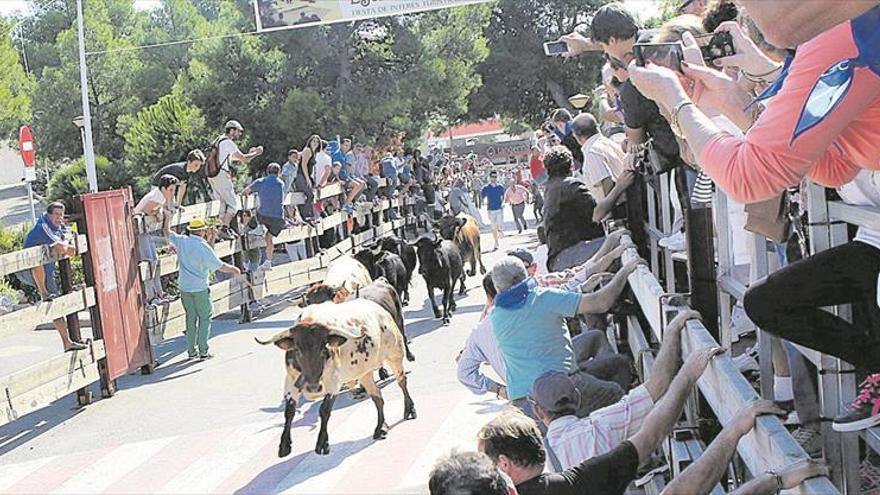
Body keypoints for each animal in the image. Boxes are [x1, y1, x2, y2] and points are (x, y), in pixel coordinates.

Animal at [256, 298, 418, 458]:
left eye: (323, 348)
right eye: (297, 349)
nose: (313, 388)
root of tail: (379, 309)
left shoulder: (333, 382)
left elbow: (324, 410)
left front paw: (322, 443)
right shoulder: (290, 381)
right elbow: (289, 411)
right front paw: (284, 445)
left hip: (395, 355)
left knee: (402, 381)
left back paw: (409, 410)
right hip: (364, 373)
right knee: (377, 396)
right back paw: (381, 428)